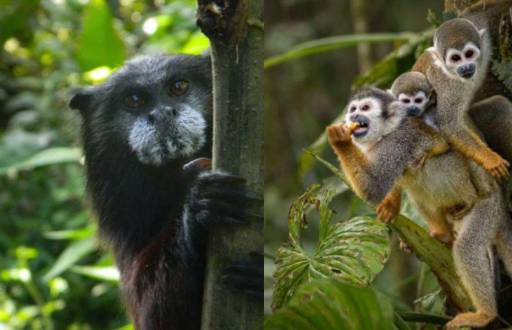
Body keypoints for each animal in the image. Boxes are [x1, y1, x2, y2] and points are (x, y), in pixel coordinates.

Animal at [328, 87, 512, 330]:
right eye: (353, 109)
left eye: (365, 108)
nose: (353, 116)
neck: (383, 135)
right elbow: (391, 181)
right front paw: (391, 205)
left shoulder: (399, 142)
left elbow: (374, 186)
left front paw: (339, 139)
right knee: (416, 189)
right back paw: (442, 234)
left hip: (487, 209)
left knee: (467, 246)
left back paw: (485, 314)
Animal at [414, 17, 510, 180]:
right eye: (455, 58)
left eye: (469, 54)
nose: (465, 67)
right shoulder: (446, 85)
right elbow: (449, 125)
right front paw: (490, 159)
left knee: (499, 105)